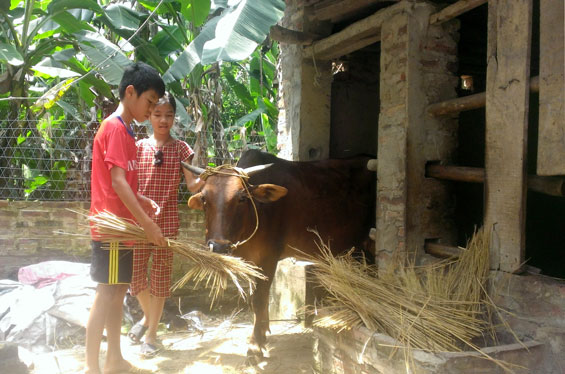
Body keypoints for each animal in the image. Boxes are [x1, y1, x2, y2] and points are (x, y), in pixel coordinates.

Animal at [182, 148, 374, 356]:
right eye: (204, 198)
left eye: (242, 198)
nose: (218, 247)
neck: (255, 213)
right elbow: (257, 300)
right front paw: (263, 331)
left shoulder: (269, 258)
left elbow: (259, 299)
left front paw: (255, 345)